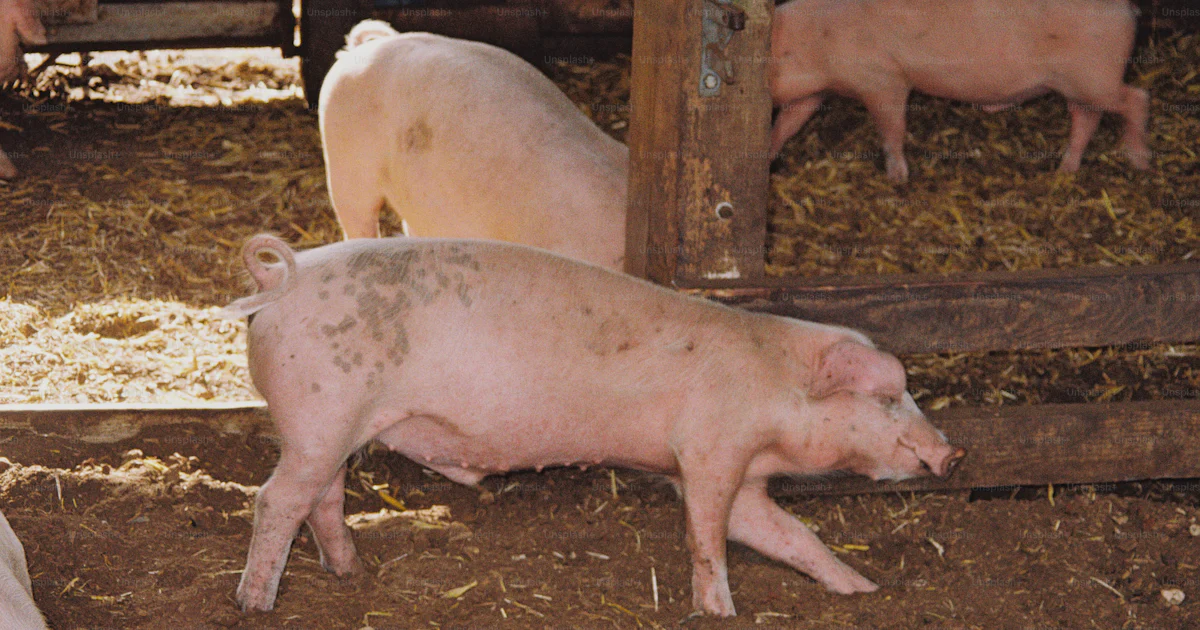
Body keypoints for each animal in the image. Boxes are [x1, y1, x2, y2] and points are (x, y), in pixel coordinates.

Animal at [225, 234, 966, 617]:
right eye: (888, 397)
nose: (953, 455)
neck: (772, 386)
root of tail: (282, 279)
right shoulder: (708, 448)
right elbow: (707, 536)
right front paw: (719, 613)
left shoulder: (737, 478)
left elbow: (788, 534)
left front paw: (863, 589)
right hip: (322, 414)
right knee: (275, 499)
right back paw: (255, 604)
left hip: (330, 427)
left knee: (322, 498)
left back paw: (350, 572)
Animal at [770, 0, 1151, 182]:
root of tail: (1127, 8)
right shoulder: (813, 94)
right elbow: (786, 125)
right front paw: (769, 152)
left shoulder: (883, 80)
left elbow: (892, 129)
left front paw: (898, 178)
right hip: (1077, 86)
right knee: (1086, 118)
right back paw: (1064, 170)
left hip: (1093, 77)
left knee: (1137, 98)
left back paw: (1138, 160)